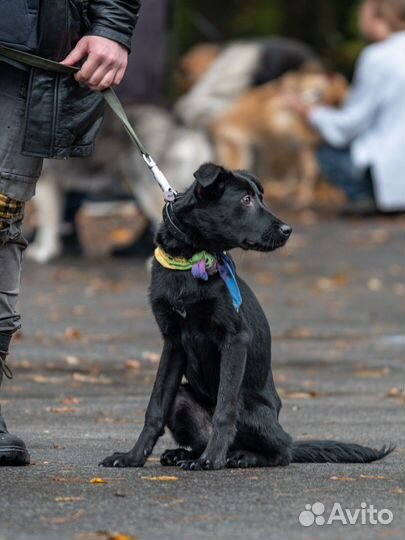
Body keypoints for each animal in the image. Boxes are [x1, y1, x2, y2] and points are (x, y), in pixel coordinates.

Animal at [100, 162, 392, 470]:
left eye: (260, 198)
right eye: (246, 200)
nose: (288, 229)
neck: (192, 260)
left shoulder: (235, 338)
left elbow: (224, 409)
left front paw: (211, 460)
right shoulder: (172, 342)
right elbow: (155, 407)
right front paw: (133, 457)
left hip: (250, 406)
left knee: (282, 450)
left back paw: (237, 456)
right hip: (181, 397)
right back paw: (186, 454)